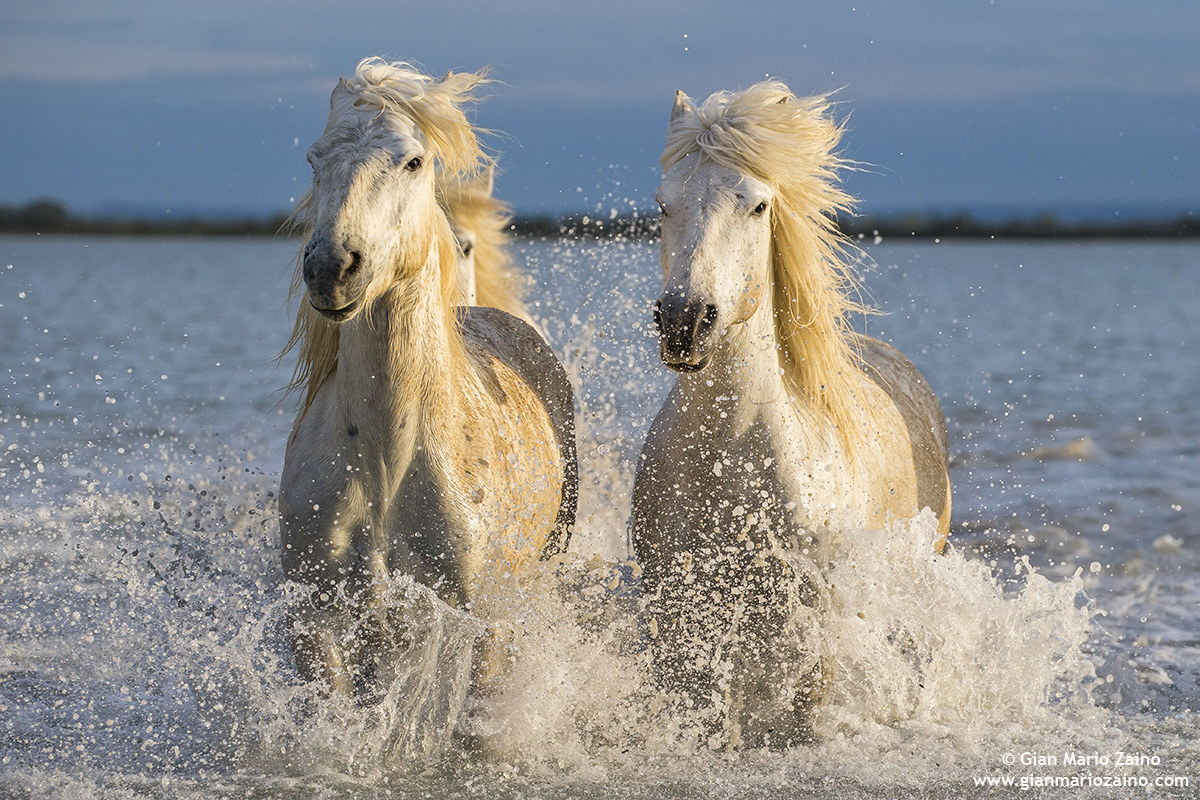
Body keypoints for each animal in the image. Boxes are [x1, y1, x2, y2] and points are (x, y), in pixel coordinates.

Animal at [631, 82, 951, 747]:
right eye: (664, 205)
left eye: (756, 206)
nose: (684, 321)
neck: (728, 455)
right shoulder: (675, 608)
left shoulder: (810, 621)